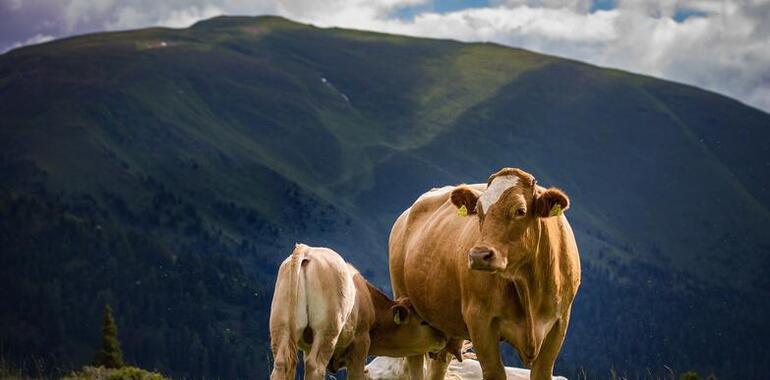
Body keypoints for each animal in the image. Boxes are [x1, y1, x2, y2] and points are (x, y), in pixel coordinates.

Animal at [270, 243, 450, 380]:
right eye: (423, 322)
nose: (443, 338)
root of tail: (307, 250)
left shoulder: (307, 347)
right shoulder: (361, 343)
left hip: (281, 328)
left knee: (281, 364)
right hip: (327, 331)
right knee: (315, 366)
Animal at [388, 168, 580, 380]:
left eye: (520, 211)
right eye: (478, 211)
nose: (479, 255)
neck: (528, 286)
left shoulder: (559, 323)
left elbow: (542, 372)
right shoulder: (479, 321)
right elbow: (494, 372)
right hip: (408, 311)